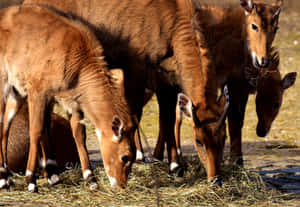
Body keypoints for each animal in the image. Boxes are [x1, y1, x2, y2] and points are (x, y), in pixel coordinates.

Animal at [0, 5, 135, 192]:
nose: (120, 185)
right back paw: (5, 179)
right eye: (125, 156)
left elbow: (79, 135)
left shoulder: (70, 104)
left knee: (5, 127)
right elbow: (36, 131)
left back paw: (6, 178)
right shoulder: (37, 93)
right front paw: (31, 180)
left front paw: (90, 179)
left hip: (16, 93)